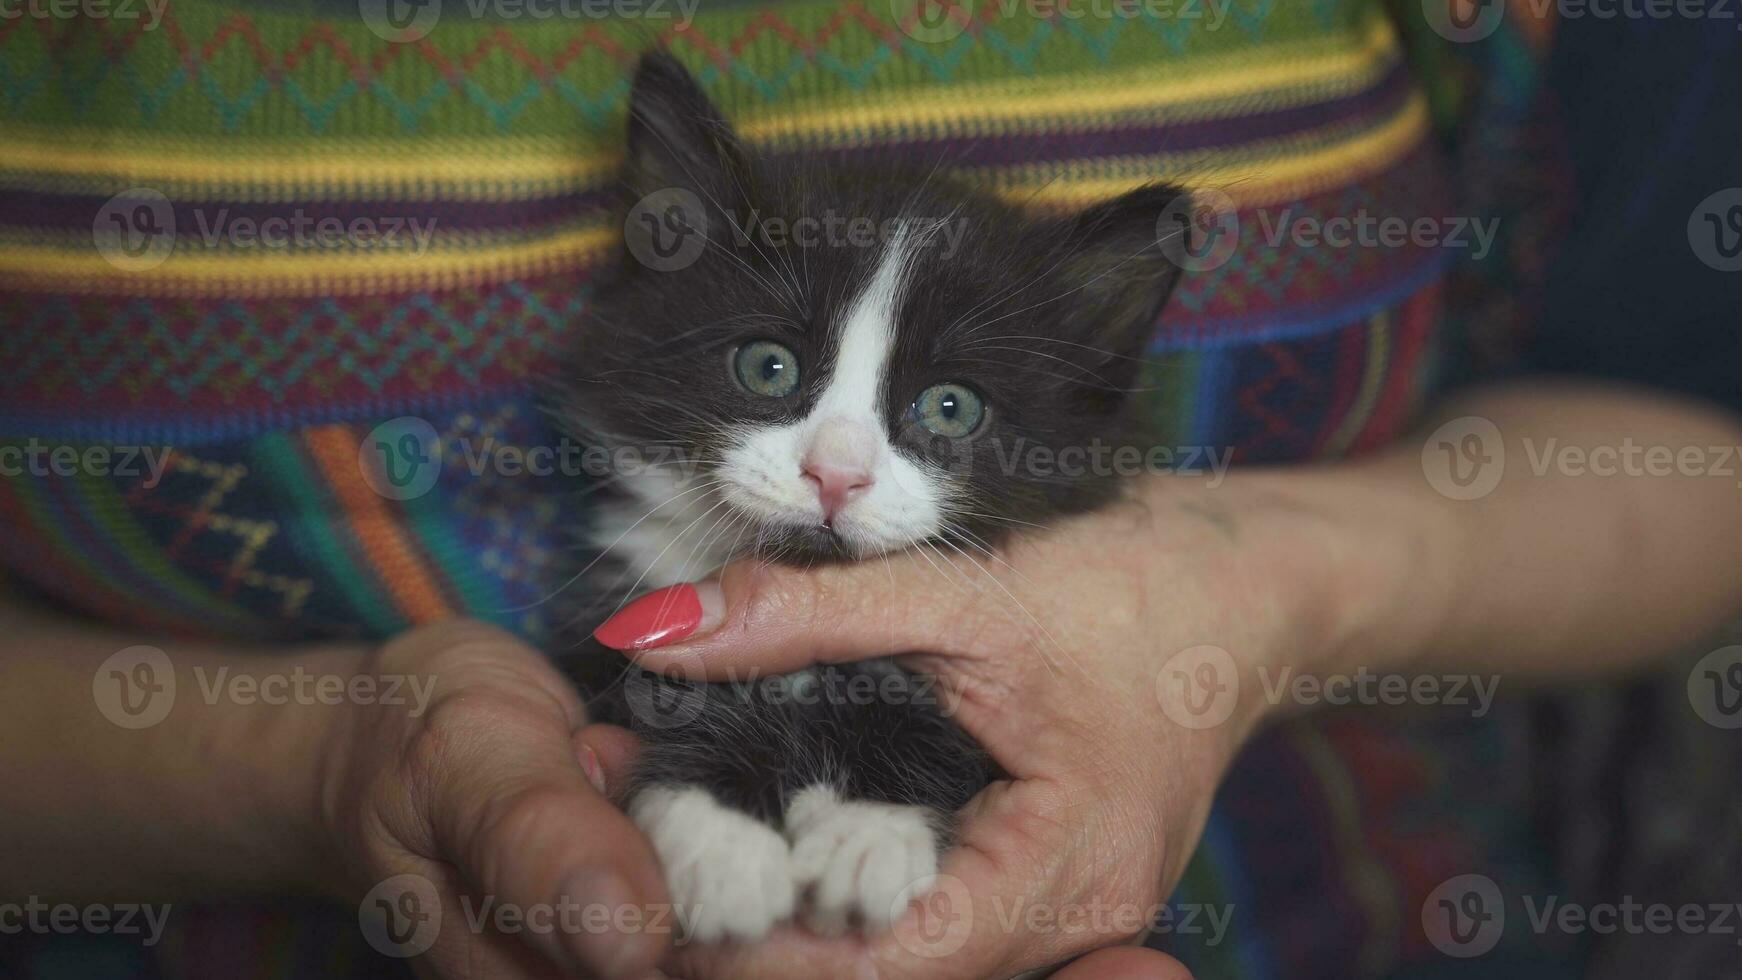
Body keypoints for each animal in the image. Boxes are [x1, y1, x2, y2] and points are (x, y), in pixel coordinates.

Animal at [557, 51, 1184, 939]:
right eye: (767, 367)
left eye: (951, 408)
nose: (835, 474)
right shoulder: (623, 607)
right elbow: (657, 694)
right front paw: (724, 837)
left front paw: (868, 832)